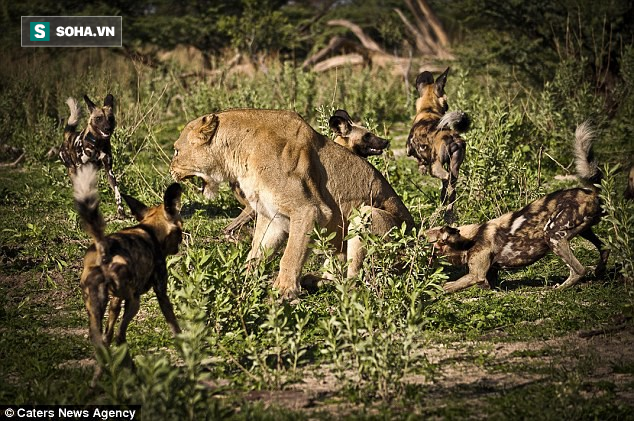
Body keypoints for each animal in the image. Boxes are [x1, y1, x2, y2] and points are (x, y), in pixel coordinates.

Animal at [74, 163, 184, 384]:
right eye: (179, 230)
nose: (180, 243)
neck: (149, 229)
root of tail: (104, 249)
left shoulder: (115, 301)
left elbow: (107, 337)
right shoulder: (161, 293)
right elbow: (175, 327)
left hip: (97, 307)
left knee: (103, 341)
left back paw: (99, 381)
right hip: (134, 302)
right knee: (120, 336)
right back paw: (133, 374)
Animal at [404, 67, 464, 221]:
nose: (447, 107)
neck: (428, 109)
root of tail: (451, 137)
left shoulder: (410, 150)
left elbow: (418, 159)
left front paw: (421, 168)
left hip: (435, 168)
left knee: (447, 181)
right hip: (454, 167)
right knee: (451, 188)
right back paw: (447, 212)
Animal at [428, 121, 604, 292]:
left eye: (427, 240)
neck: (468, 239)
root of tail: (591, 193)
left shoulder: (476, 275)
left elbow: (448, 286)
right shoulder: (488, 276)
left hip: (553, 235)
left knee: (579, 270)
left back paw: (558, 288)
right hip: (584, 232)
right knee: (605, 248)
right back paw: (599, 271)